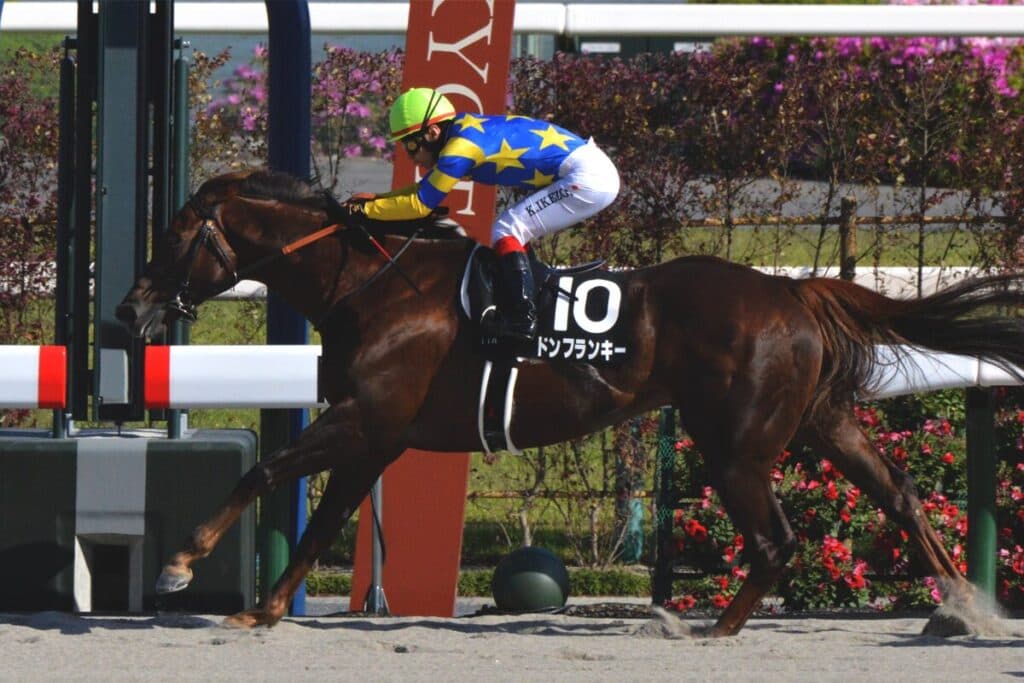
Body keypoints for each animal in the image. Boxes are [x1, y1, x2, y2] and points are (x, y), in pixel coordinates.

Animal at [117, 167, 1024, 635]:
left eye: (174, 236)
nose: (129, 311)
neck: (369, 285)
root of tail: (792, 290)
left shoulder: (366, 417)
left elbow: (264, 471)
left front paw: (179, 563)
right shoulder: (377, 435)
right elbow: (320, 522)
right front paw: (264, 609)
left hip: (735, 444)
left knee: (776, 540)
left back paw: (712, 628)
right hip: (817, 419)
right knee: (900, 493)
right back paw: (967, 612)